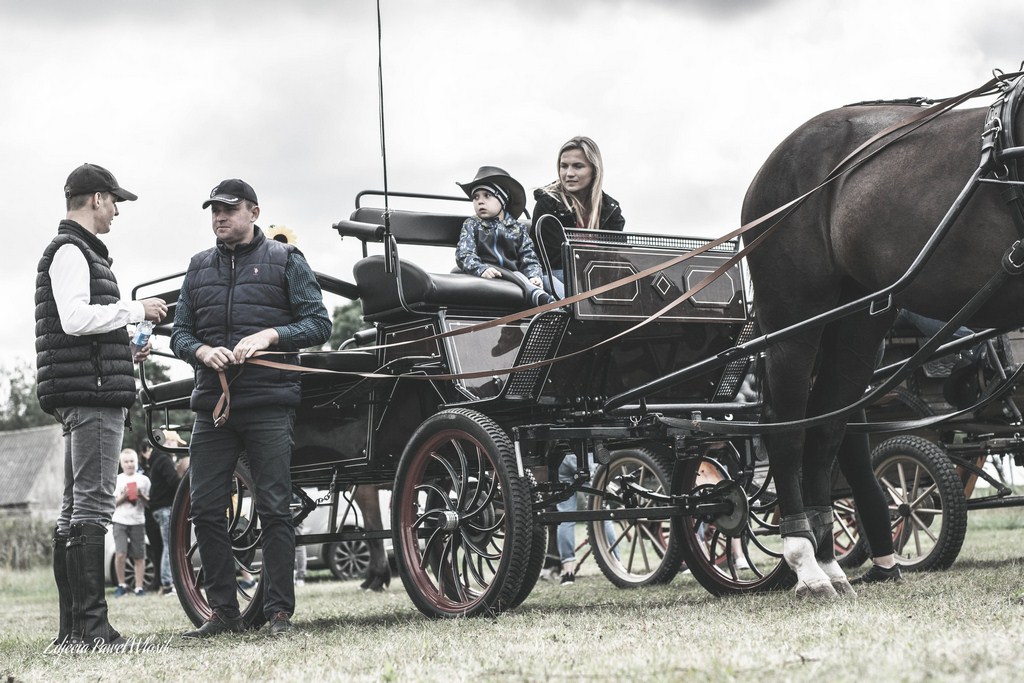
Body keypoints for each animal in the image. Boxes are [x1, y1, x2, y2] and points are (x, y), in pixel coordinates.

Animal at [741, 74, 1024, 593]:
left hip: (859, 316)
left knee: (828, 421)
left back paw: (828, 558)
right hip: (793, 316)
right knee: (786, 424)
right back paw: (804, 560)